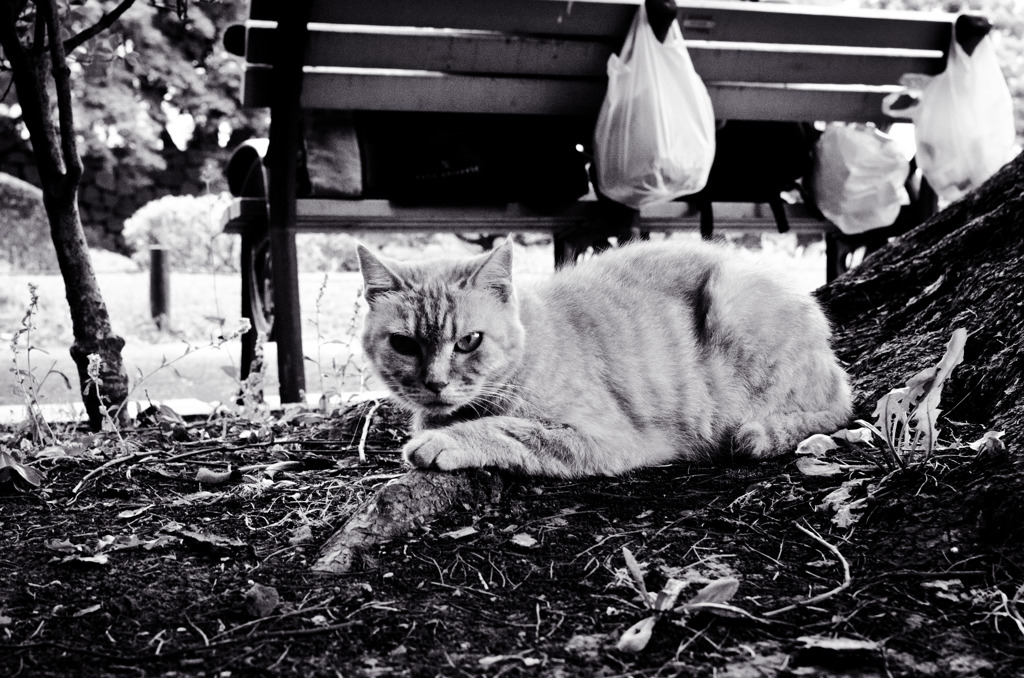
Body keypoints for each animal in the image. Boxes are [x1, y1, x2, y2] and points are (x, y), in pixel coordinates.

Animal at [356, 241, 851, 481]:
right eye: (404, 344)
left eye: (469, 341)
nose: (435, 383)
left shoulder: (611, 438)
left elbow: (512, 429)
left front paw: (444, 441)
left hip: (736, 303)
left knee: (835, 408)